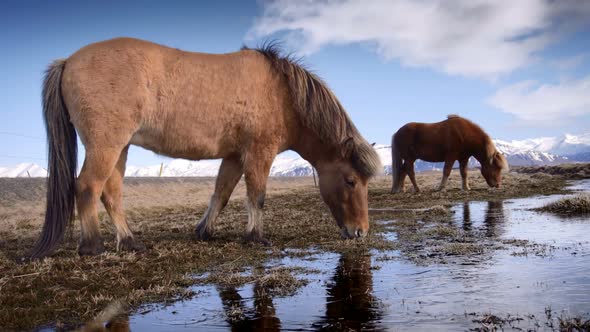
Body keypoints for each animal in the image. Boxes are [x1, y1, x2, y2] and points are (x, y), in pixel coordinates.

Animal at [31, 37, 384, 258]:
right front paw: (255, 237)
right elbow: (257, 195)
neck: (284, 94)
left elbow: (222, 193)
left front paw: (204, 230)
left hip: (120, 148)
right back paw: (92, 246)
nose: (360, 232)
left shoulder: (234, 156)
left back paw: (130, 242)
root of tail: (68, 61)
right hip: (106, 145)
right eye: (351, 181)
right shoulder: (259, 152)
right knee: (88, 186)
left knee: (111, 192)